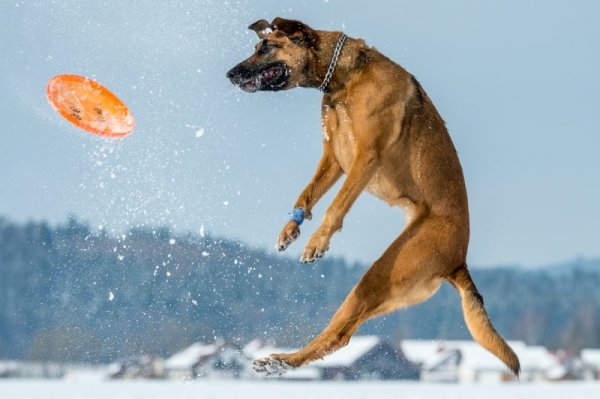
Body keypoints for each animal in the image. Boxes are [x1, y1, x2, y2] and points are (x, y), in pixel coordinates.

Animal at [226, 16, 520, 378]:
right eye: (257, 46)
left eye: (266, 47)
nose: (231, 74)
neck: (343, 80)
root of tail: (459, 260)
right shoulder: (334, 158)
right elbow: (307, 193)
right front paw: (290, 229)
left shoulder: (366, 156)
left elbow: (337, 204)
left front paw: (317, 241)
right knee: (340, 334)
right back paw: (279, 361)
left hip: (385, 271)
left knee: (339, 334)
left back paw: (282, 361)